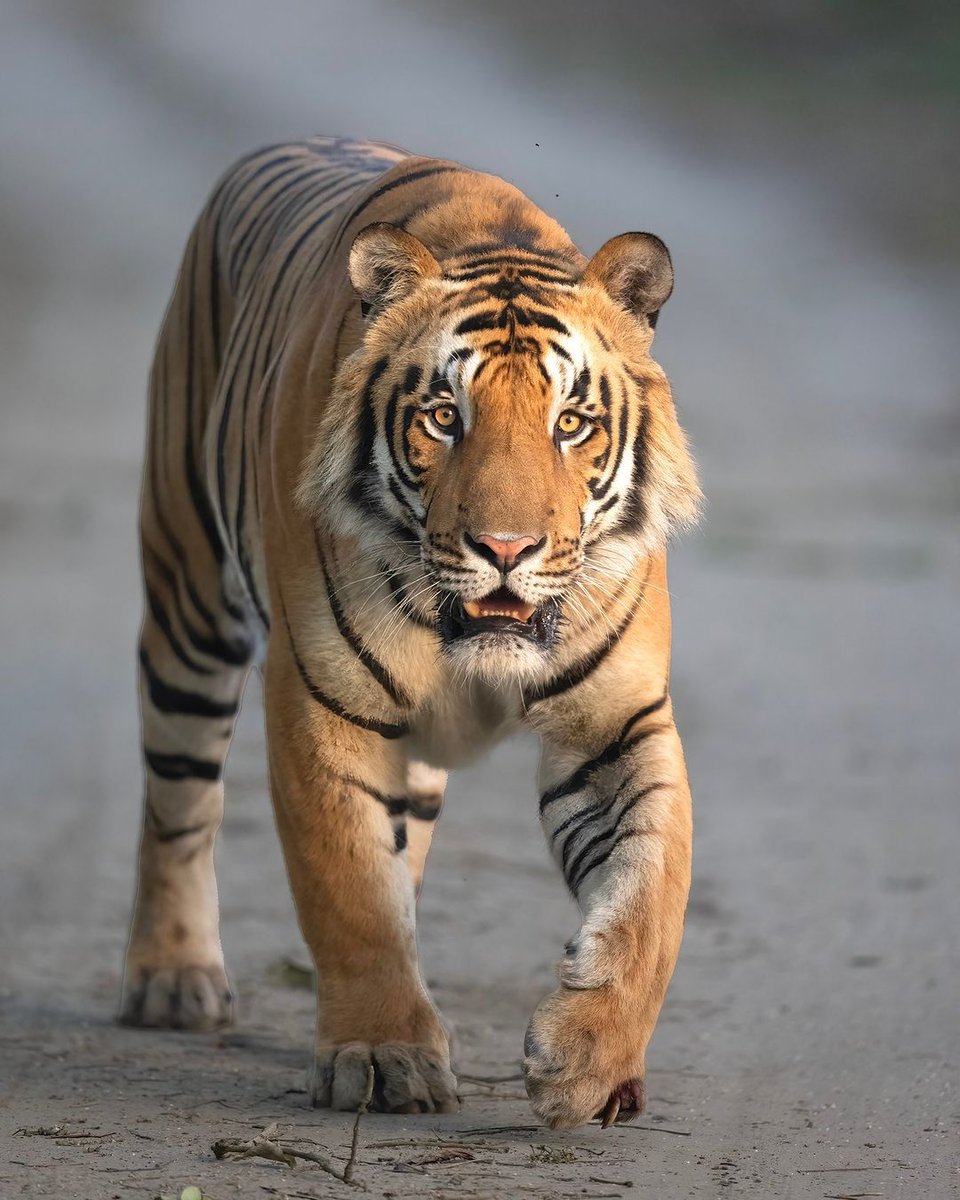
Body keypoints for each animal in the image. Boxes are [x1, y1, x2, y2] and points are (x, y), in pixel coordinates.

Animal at [123, 136, 700, 1128]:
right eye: (443, 417)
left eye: (571, 424)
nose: (506, 549)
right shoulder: (323, 705)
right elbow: (351, 888)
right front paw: (382, 1055)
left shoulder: (615, 722)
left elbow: (651, 896)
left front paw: (587, 1060)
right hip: (188, 600)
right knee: (179, 800)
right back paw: (172, 979)